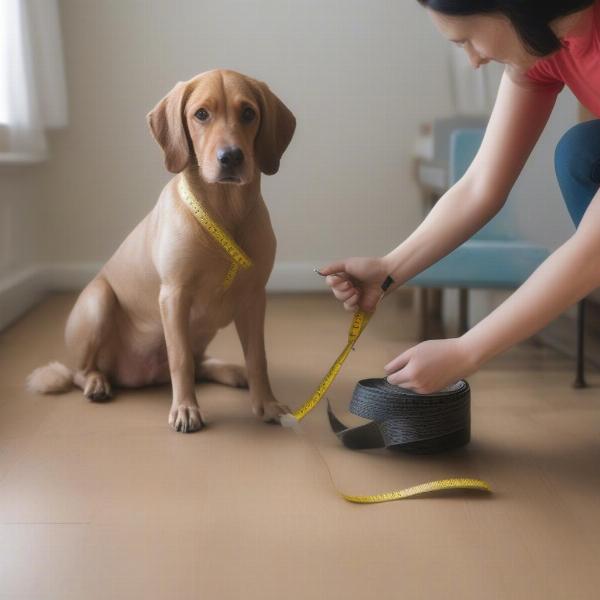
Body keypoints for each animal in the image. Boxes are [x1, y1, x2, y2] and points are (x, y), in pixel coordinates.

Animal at [27, 70, 296, 432]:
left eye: (248, 113)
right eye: (201, 114)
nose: (231, 157)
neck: (224, 213)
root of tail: (134, 374)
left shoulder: (254, 298)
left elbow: (257, 358)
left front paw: (265, 402)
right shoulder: (174, 295)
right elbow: (179, 359)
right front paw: (185, 408)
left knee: (201, 364)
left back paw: (230, 370)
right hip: (98, 300)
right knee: (82, 372)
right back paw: (96, 382)